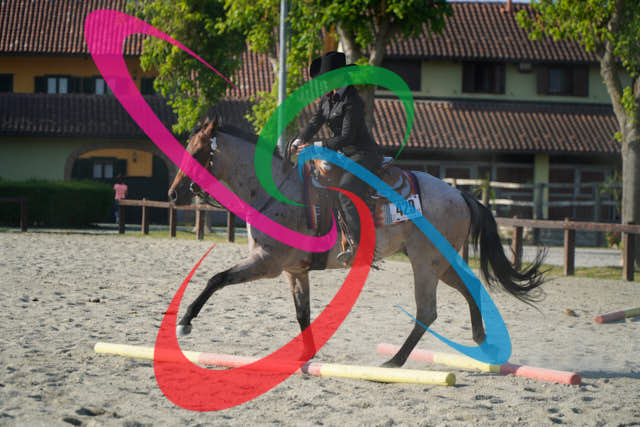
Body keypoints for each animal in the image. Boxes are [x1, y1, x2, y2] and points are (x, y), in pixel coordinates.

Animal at [167, 117, 545, 367]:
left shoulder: (267, 263)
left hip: (427, 264)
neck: (277, 191)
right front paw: (309, 357)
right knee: (469, 288)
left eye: (198, 152)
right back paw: (482, 342)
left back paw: (395, 362)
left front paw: (185, 321)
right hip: (441, 263)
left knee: (427, 311)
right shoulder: (294, 271)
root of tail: (459, 194)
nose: (173, 194)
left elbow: (216, 279)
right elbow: (303, 314)